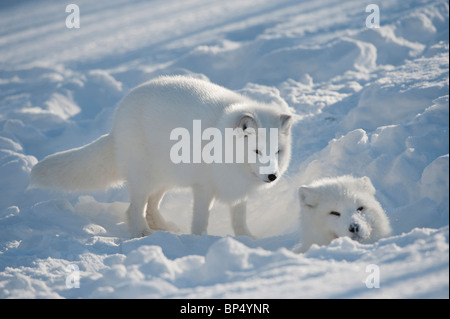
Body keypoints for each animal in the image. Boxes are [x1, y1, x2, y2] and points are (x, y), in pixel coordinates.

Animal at [29, 76, 294, 239]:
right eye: (257, 151)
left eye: (277, 151)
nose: (272, 176)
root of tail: (116, 123)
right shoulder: (203, 187)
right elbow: (200, 220)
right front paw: (198, 240)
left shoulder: (237, 190)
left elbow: (240, 220)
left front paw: (248, 239)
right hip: (143, 178)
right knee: (134, 209)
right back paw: (142, 234)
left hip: (165, 178)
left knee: (152, 206)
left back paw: (164, 228)